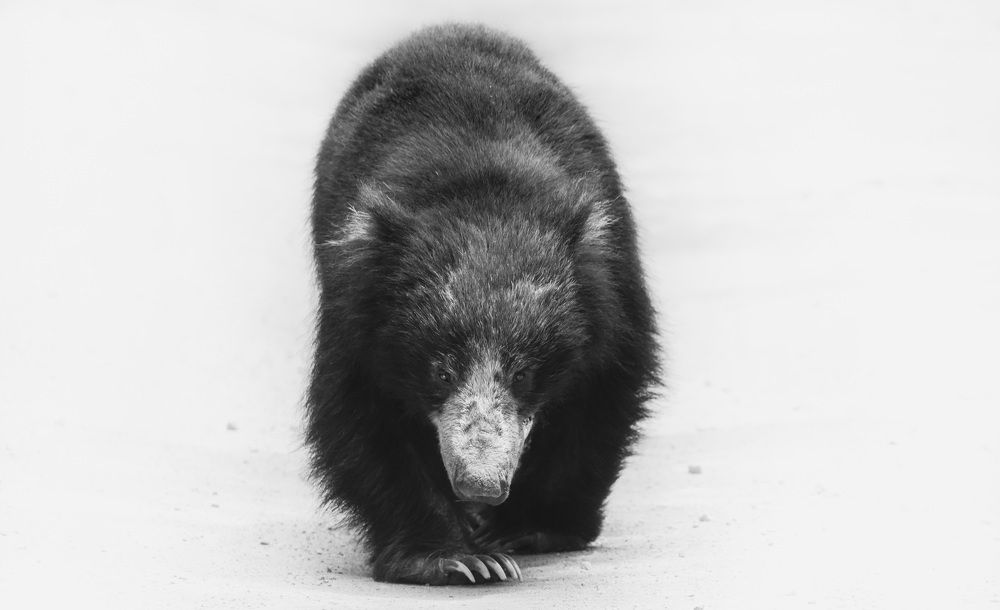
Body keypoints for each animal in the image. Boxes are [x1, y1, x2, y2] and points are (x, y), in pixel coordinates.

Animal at [307, 24, 660, 585]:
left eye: (523, 373)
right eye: (442, 372)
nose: (480, 484)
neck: (481, 196)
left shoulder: (611, 290)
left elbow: (602, 393)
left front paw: (518, 530)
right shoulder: (356, 306)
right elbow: (359, 414)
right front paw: (459, 558)